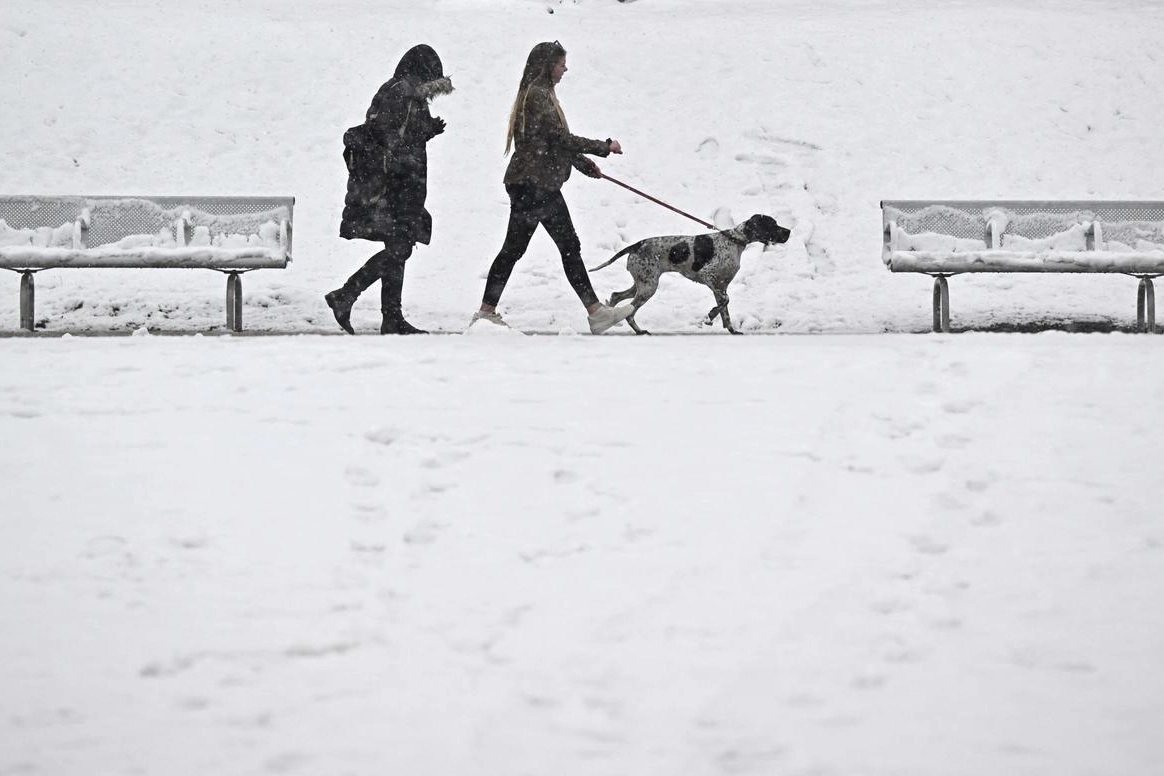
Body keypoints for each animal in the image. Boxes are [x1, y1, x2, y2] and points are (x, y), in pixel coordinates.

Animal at [591, 212, 791, 335]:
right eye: (773, 224)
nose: (789, 231)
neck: (735, 241)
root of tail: (637, 244)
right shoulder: (709, 277)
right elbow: (725, 303)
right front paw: (710, 316)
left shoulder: (720, 287)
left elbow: (725, 311)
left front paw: (731, 329)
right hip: (648, 287)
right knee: (630, 313)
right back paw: (638, 330)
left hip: (642, 284)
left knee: (616, 296)